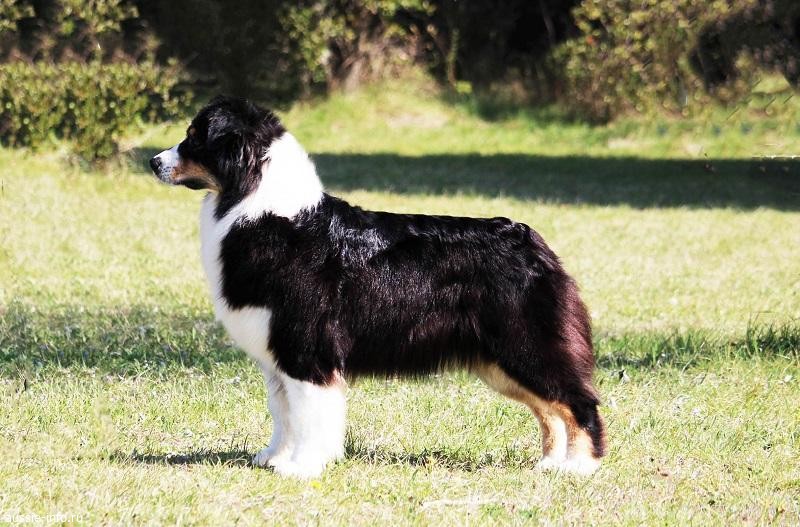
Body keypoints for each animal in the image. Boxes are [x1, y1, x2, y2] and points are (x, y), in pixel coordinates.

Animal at [149, 96, 606, 478]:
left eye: (194, 137)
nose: (153, 162)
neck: (259, 207)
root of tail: (532, 240)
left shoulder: (306, 349)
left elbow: (308, 415)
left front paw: (302, 467)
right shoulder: (279, 353)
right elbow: (282, 412)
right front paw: (272, 458)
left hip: (526, 345)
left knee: (579, 402)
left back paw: (578, 467)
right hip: (500, 362)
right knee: (549, 410)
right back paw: (549, 464)